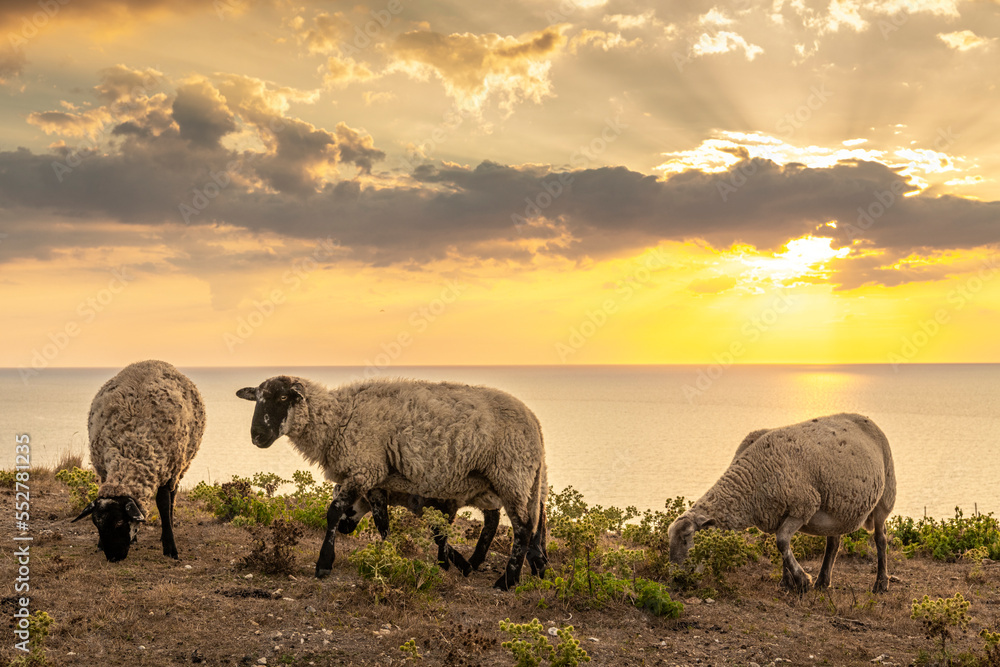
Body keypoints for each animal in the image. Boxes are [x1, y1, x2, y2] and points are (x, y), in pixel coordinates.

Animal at [73, 360, 205, 563]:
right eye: (96, 523)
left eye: (120, 522)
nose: (113, 558)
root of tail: (154, 361)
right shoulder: (103, 472)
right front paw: (100, 544)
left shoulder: (165, 471)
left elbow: (164, 505)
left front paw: (170, 547)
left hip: (181, 465)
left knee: (173, 497)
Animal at [236, 375, 548, 589]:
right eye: (258, 399)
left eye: (283, 399)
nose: (257, 436)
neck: (339, 419)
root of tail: (534, 422)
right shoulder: (375, 477)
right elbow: (382, 522)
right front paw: (393, 553)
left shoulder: (363, 467)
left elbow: (334, 512)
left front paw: (324, 564)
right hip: (512, 482)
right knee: (520, 522)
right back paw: (518, 566)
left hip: (511, 474)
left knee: (523, 527)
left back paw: (507, 581)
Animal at [668, 413, 896, 594]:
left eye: (687, 537)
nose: (677, 580)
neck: (751, 479)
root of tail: (867, 420)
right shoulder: (776, 513)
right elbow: (782, 545)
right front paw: (788, 583)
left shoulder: (803, 506)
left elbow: (782, 541)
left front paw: (802, 581)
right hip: (838, 509)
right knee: (833, 543)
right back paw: (823, 582)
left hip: (885, 497)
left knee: (881, 539)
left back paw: (880, 584)